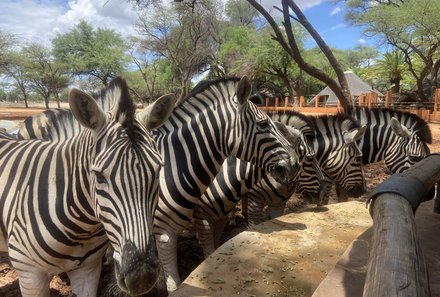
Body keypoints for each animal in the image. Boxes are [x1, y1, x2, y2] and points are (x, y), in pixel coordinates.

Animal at [1, 77, 177, 296]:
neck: (81, 230)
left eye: (157, 170)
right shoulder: (29, 274)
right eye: (100, 177)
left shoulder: (88, 269)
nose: (141, 277)